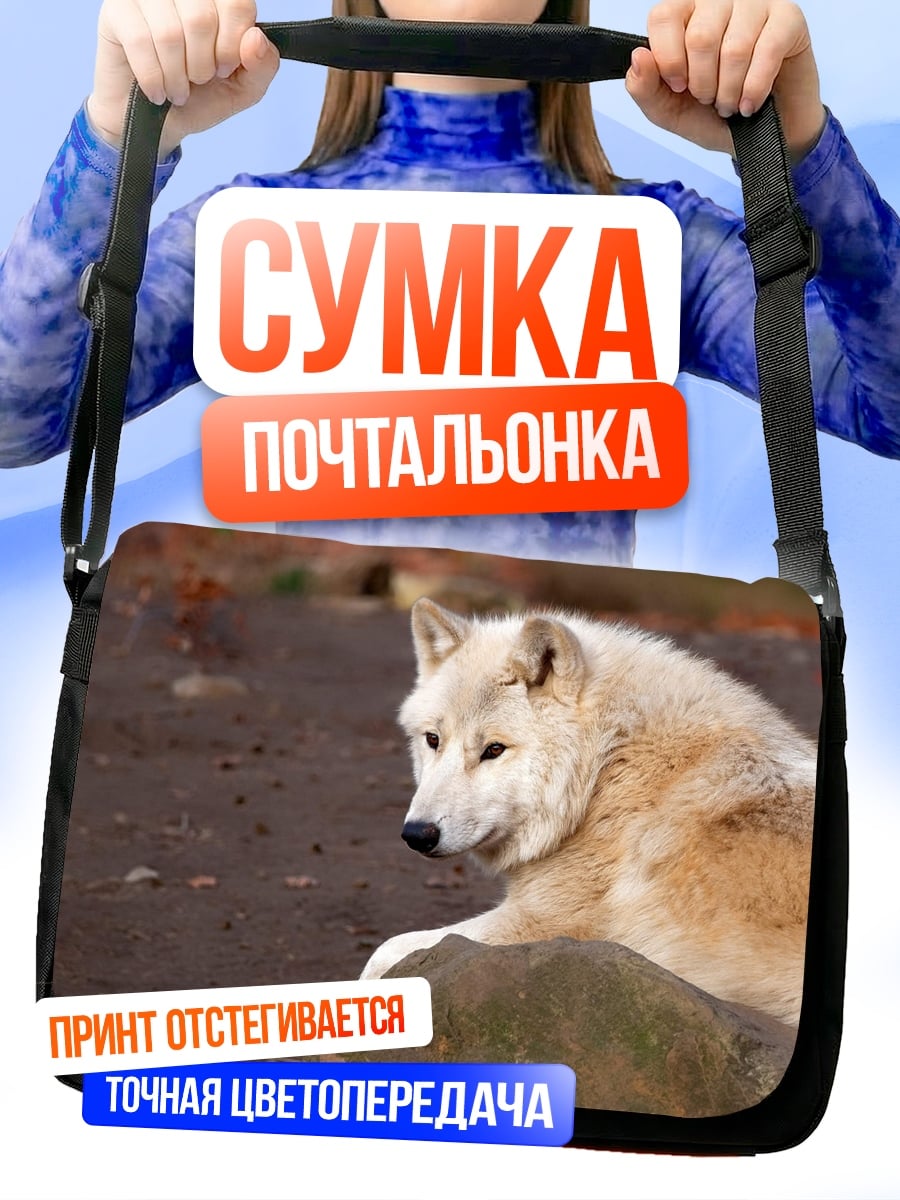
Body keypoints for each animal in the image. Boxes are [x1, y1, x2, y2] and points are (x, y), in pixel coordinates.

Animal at [361, 598, 816, 1026]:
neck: (606, 769)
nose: (417, 834)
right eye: (433, 740)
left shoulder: (540, 923)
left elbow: (382, 954)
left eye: (494, 749)